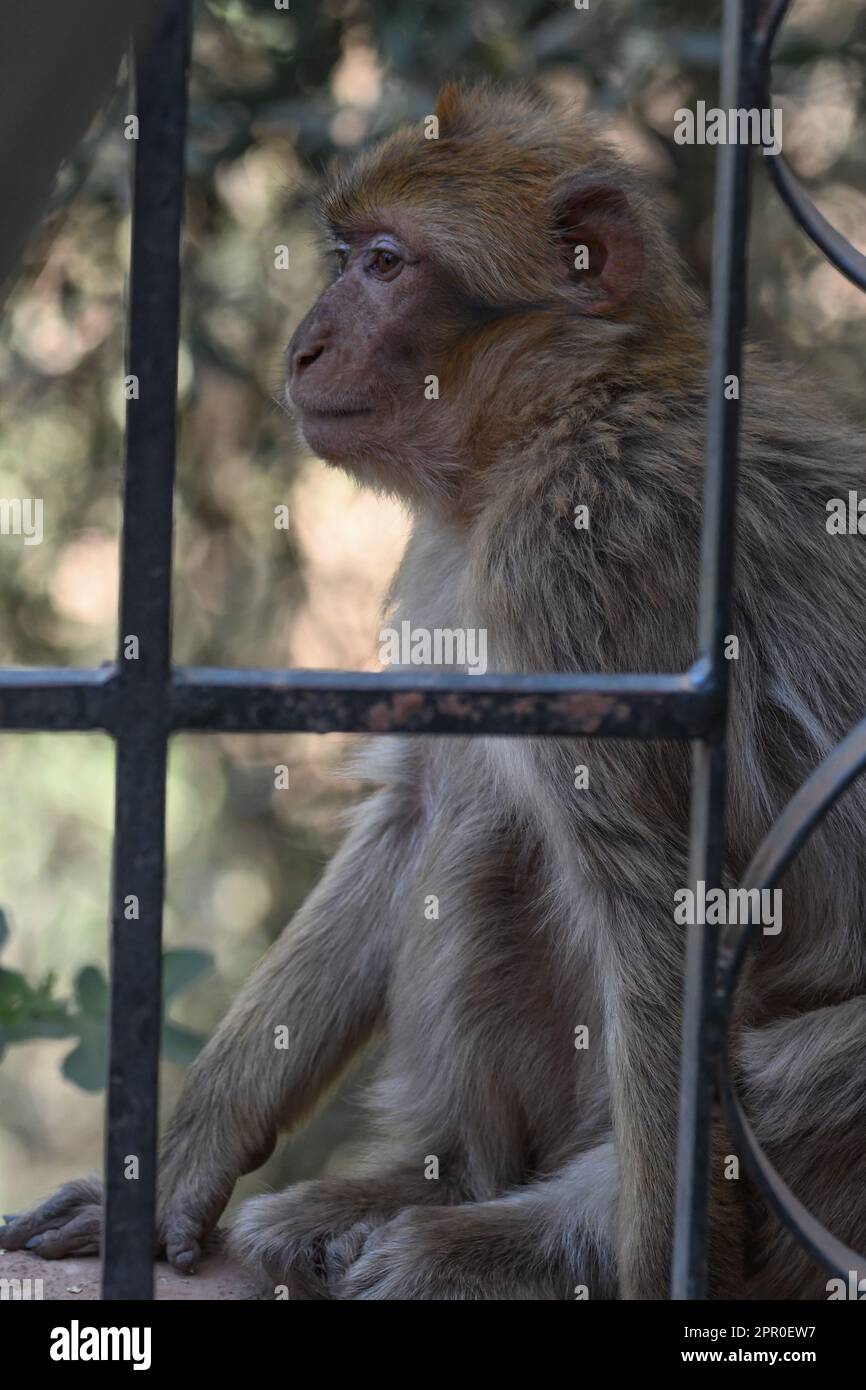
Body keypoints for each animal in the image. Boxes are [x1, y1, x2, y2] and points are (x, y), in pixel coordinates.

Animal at [5, 84, 866, 1301]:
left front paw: (643, 1264)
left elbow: (655, 897)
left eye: (384, 264)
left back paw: (521, 1240)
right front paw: (174, 1166)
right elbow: (409, 808)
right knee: (469, 828)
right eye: (345, 256)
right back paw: (441, 1182)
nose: (304, 346)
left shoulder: (570, 555)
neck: (550, 415)